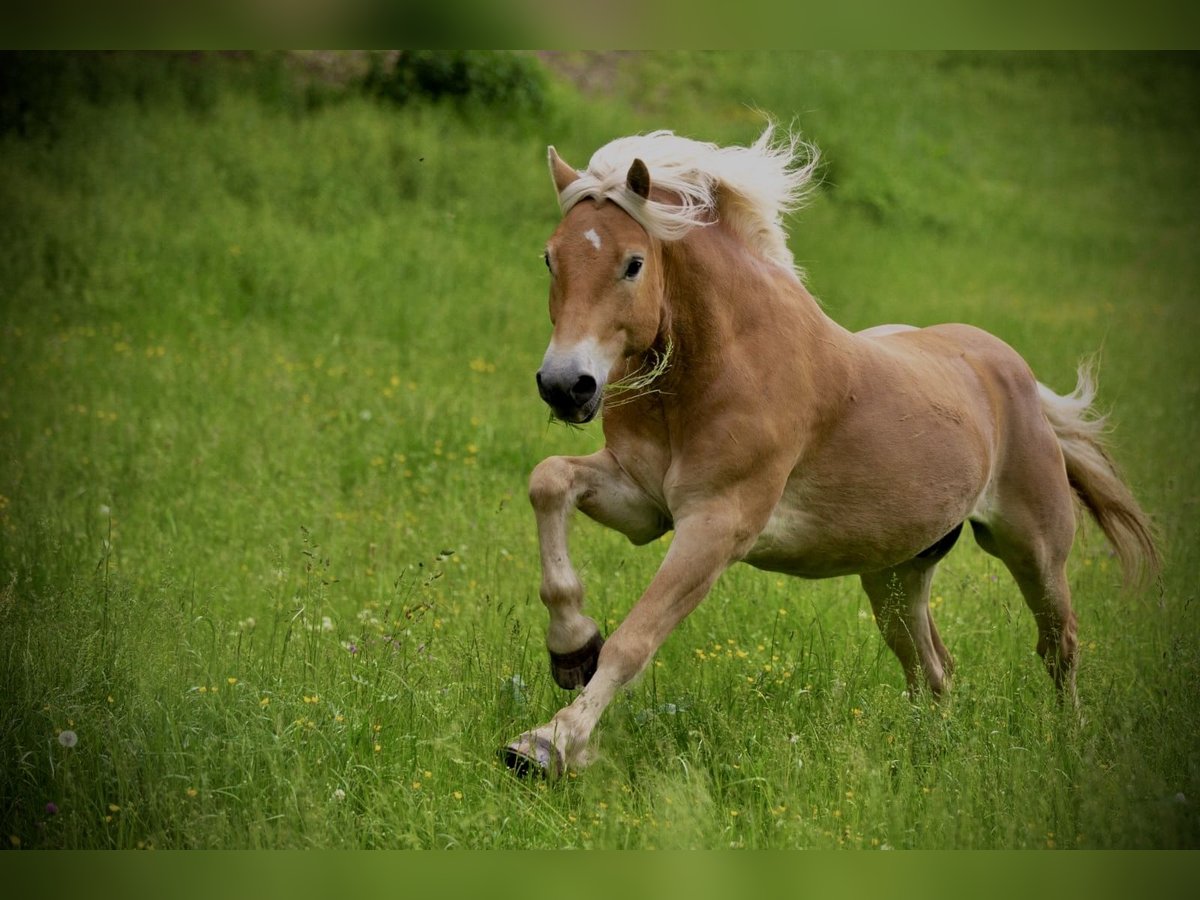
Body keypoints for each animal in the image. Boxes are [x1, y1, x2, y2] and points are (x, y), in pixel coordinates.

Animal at [501, 125, 1159, 777]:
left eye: (633, 264)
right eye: (550, 258)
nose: (566, 386)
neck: (719, 364)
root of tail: (1014, 372)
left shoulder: (717, 523)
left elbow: (634, 638)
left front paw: (547, 744)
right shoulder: (643, 505)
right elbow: (548, 481)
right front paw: (571, 648)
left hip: (1033, 550)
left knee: (1057, 647)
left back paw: (1068, 743)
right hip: (895, 574)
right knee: (932, 669)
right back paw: (924, 759)